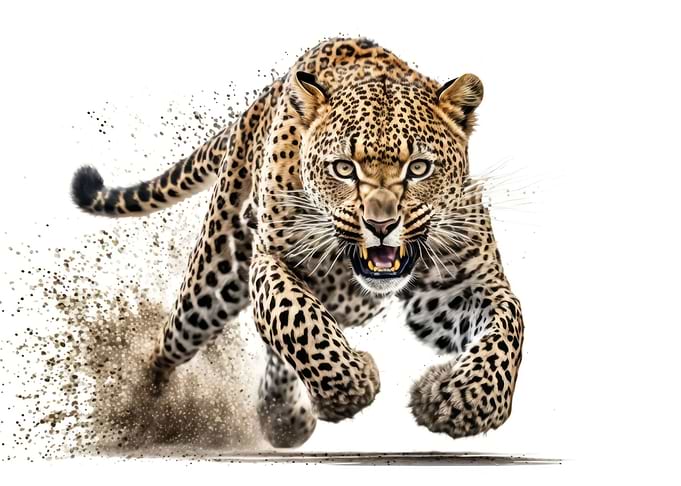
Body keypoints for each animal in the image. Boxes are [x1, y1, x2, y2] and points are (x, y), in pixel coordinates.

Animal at [70, 38, 524, 448]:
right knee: (169, 345)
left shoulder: (458, 287)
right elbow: (297, 318)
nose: (380, 224)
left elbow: (509, 327)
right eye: (343, 168)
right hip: (214, 279)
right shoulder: (270, 260)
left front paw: (461, 402)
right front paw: (349, 387)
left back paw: (281, 417)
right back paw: (141, 410)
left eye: (419, 168)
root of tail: (259, 104)